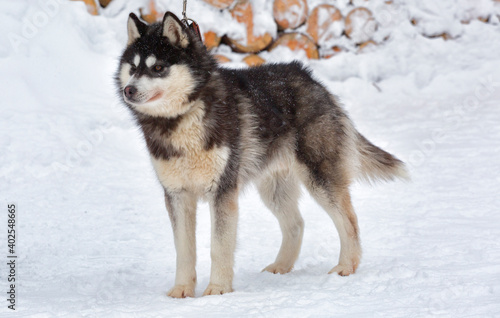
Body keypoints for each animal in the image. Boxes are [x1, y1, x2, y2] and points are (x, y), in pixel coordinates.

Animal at [116, 10, 406, 298]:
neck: (184, 119)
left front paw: (217, 290)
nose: (129, 89)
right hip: (274, 189)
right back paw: (281, 266)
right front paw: (181, 290)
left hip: (320, 180)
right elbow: (184, 250)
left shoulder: (222, 191)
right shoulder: (177, 195)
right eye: (133, 68)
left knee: (349, 221)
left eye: (158, 68)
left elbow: (219, 246)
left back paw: (346, 266)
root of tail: (308, 77)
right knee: (296, 224)